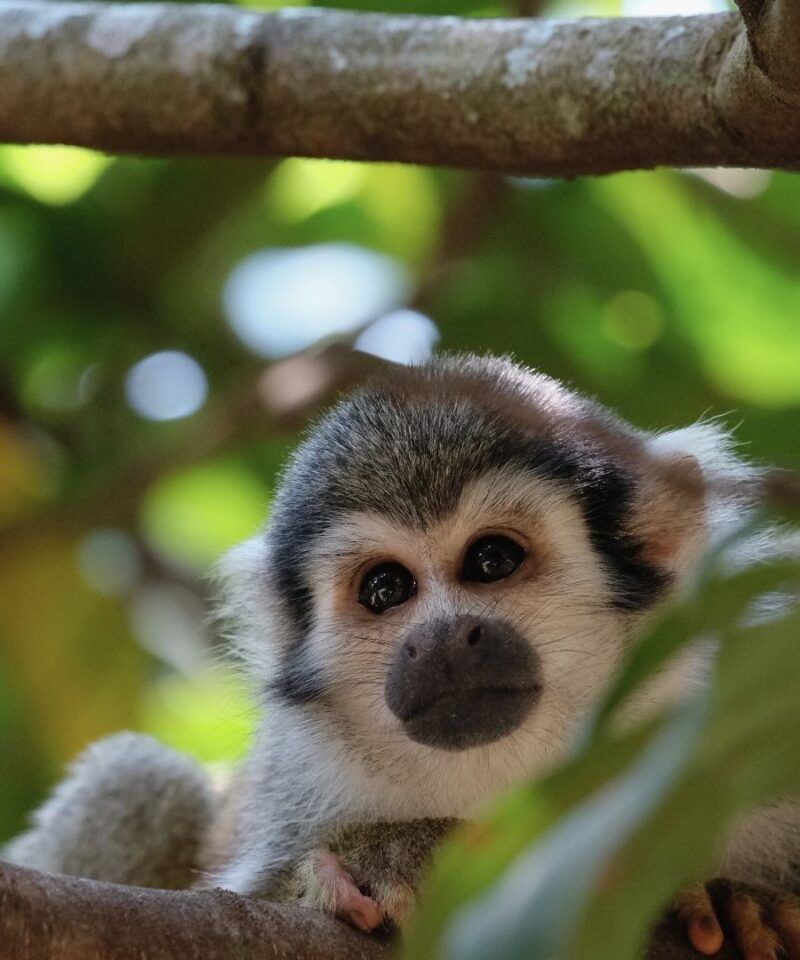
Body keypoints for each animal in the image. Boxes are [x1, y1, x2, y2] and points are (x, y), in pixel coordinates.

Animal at [5, 354, 800, 957]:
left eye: (491, 560)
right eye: (386, 588)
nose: (441, 639)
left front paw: (742, 906)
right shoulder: (297, 781)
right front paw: (386, 856)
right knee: (146, 779)